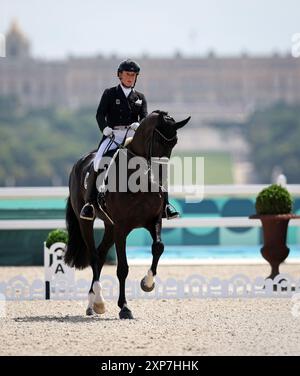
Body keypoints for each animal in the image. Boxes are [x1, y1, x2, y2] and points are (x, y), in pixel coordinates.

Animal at [64, 110, 191, 318]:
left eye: (174, 142)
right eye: (158, 140)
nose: (160, 179)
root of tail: (80, 162)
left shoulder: (153, 221)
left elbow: (158, 247)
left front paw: (147, 283)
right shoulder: (122, 227)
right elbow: (122, 268)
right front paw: (124, 307)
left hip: (110, 226)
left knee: (100, 254)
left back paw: (94, 303)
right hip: (87, 223)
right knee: (93, 256)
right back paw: (97, 302)